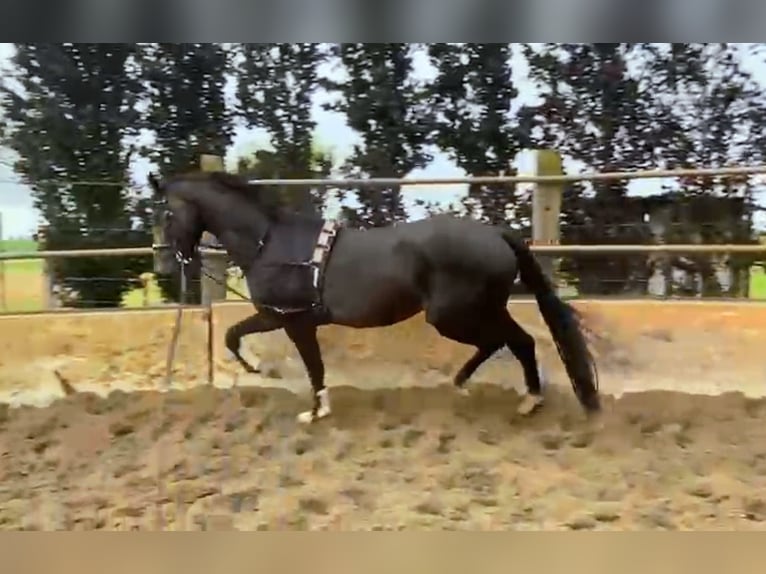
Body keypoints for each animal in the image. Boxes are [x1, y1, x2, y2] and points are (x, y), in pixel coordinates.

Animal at [148, 171, 600, 424]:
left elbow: (309, 365)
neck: (270, 244)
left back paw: (526, 400)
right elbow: (234, 337)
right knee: (509, 341)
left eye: (166, 213)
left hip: (455, 315)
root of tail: (496, 235)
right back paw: (473, 388)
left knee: (514, 341)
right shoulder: (280, 316)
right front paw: (269, 374)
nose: (164, 266)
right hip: (477, 310)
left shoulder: (291, 319)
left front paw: (311, 409)